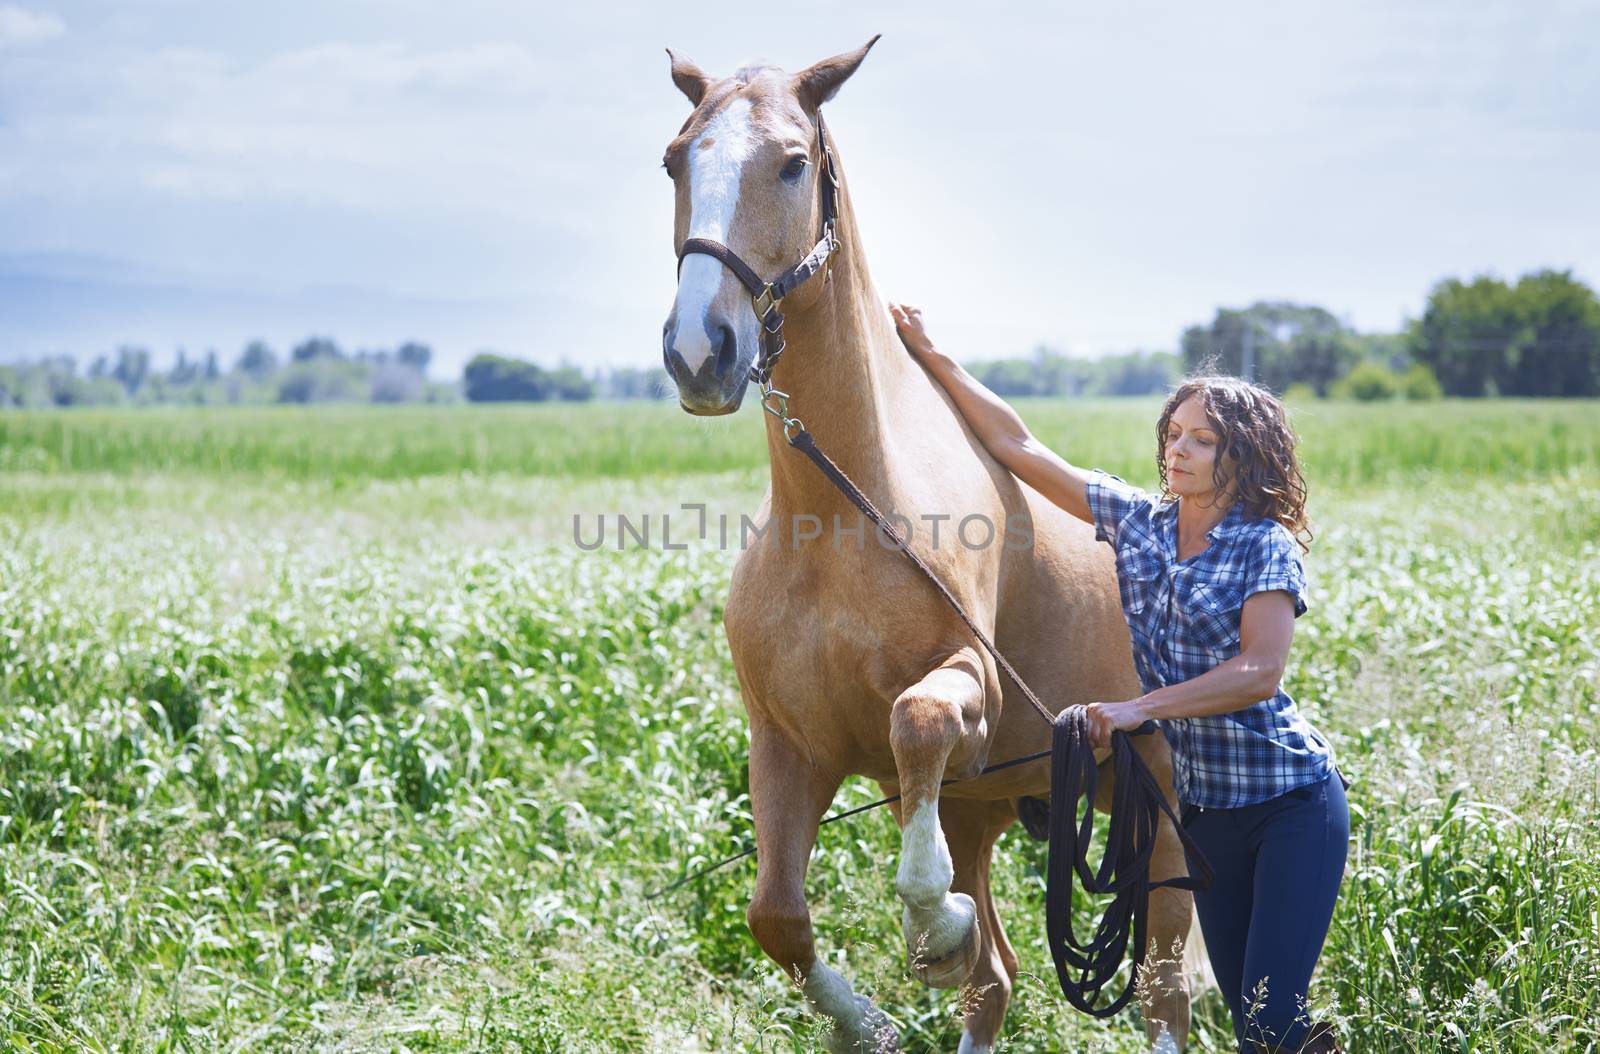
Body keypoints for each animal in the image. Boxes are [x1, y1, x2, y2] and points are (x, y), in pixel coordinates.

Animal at [656, 37, 1196, 1049]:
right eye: (675, 161)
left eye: (792, 162)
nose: (700, 351)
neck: (840, 517)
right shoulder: (788, 747)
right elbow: (775, 915)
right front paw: (871, 1016)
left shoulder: (968, 690)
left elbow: (918, 720)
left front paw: (932, 924)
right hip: (988, 811)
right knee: (997, 981)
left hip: (1161, 810)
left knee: (1164, 988)